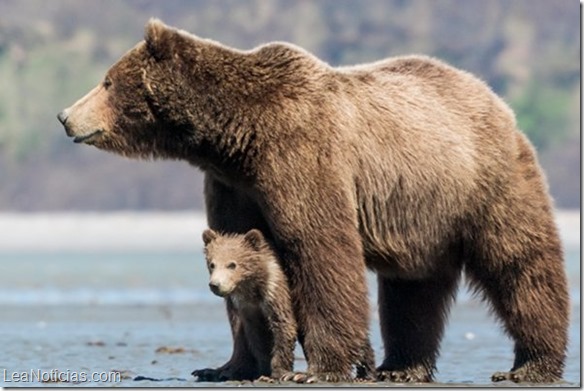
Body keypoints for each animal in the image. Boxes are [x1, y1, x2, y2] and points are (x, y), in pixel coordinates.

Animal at [57, 19, 568, 384]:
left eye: (107, 81)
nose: (64, 116)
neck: (235, 137)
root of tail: (494, 98)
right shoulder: (233, 184)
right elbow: (236, 247)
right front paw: (226, 366)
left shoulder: (302, 156)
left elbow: (320, 250)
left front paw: (314, 368)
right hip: (420, 213)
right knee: (412, 287)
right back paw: (401, 367)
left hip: (483, 183)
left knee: (520, 263)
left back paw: (531, 365)